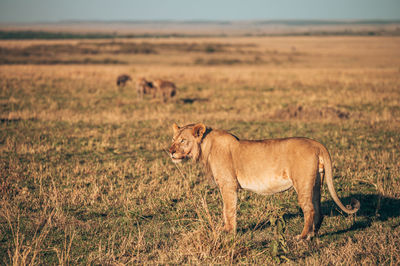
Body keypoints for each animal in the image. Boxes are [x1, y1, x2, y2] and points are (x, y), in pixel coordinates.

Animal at [169, 123, 360, 240]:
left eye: (183, 140)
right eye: (173, 140)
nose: (170, 151)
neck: (205, 147)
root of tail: (316, 143)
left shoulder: (228, 185)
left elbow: (228, 209)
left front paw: (229, 232)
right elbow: (227, 209)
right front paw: (227, 230)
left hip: (302, 183)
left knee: (310, 209)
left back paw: (302, 237)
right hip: (316, 183)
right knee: (319, 209)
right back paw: (313, 235)